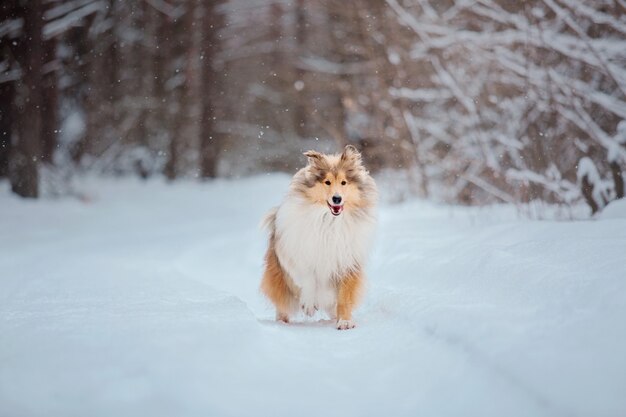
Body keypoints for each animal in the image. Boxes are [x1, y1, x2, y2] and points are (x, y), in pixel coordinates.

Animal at [258, 145, 376, 330]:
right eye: (327, 182)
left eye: (344, 182)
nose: (337, 198)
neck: (329, 221)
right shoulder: (296, 255)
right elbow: (308, 278)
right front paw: (308, 306)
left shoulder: (348, 262)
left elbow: (344, 297)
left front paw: (345, 322)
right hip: (279, 280)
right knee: (282, 305)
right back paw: (283, 322)